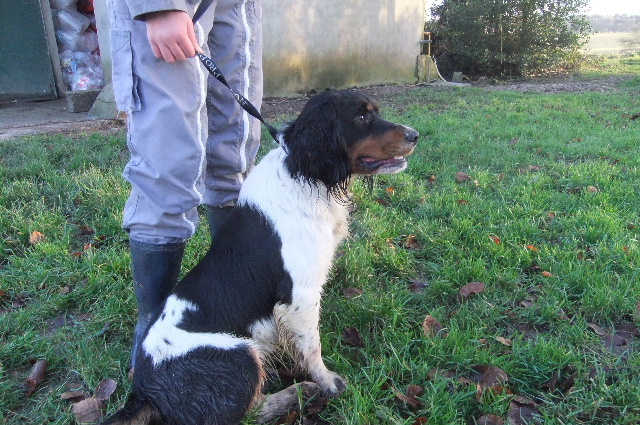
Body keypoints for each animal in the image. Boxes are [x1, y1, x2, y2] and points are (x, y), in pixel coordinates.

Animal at [100, 89, 420, 424]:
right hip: (240, 354)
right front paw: (328, 382)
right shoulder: (299, 294)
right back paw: (301, 391)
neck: (304, 176)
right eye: (360, 116)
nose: (415, 135)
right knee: (249, 412)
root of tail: (142, 392)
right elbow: (312, 347)